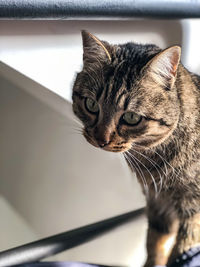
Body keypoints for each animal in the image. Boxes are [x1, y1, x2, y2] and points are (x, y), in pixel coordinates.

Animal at [72, 30, 200, 266]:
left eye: (131, 117)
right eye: (91, 105)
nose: (101, 139)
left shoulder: (194, 210)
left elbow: (183, 247)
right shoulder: (158, 204)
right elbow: (155, 245)